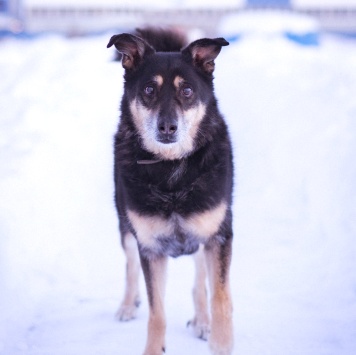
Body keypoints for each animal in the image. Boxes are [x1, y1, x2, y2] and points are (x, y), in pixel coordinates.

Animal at [106, 28, 234, 355]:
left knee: (201, 279)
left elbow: (220, 298)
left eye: (186, 90)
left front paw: (219, 340)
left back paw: (202, 321)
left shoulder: (218, 236)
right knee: (129, 265)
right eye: (149, 89)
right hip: (125, 226)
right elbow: (157, 311)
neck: (172, 169)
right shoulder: (149, 247)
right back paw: (128, 305)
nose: (167, 127)